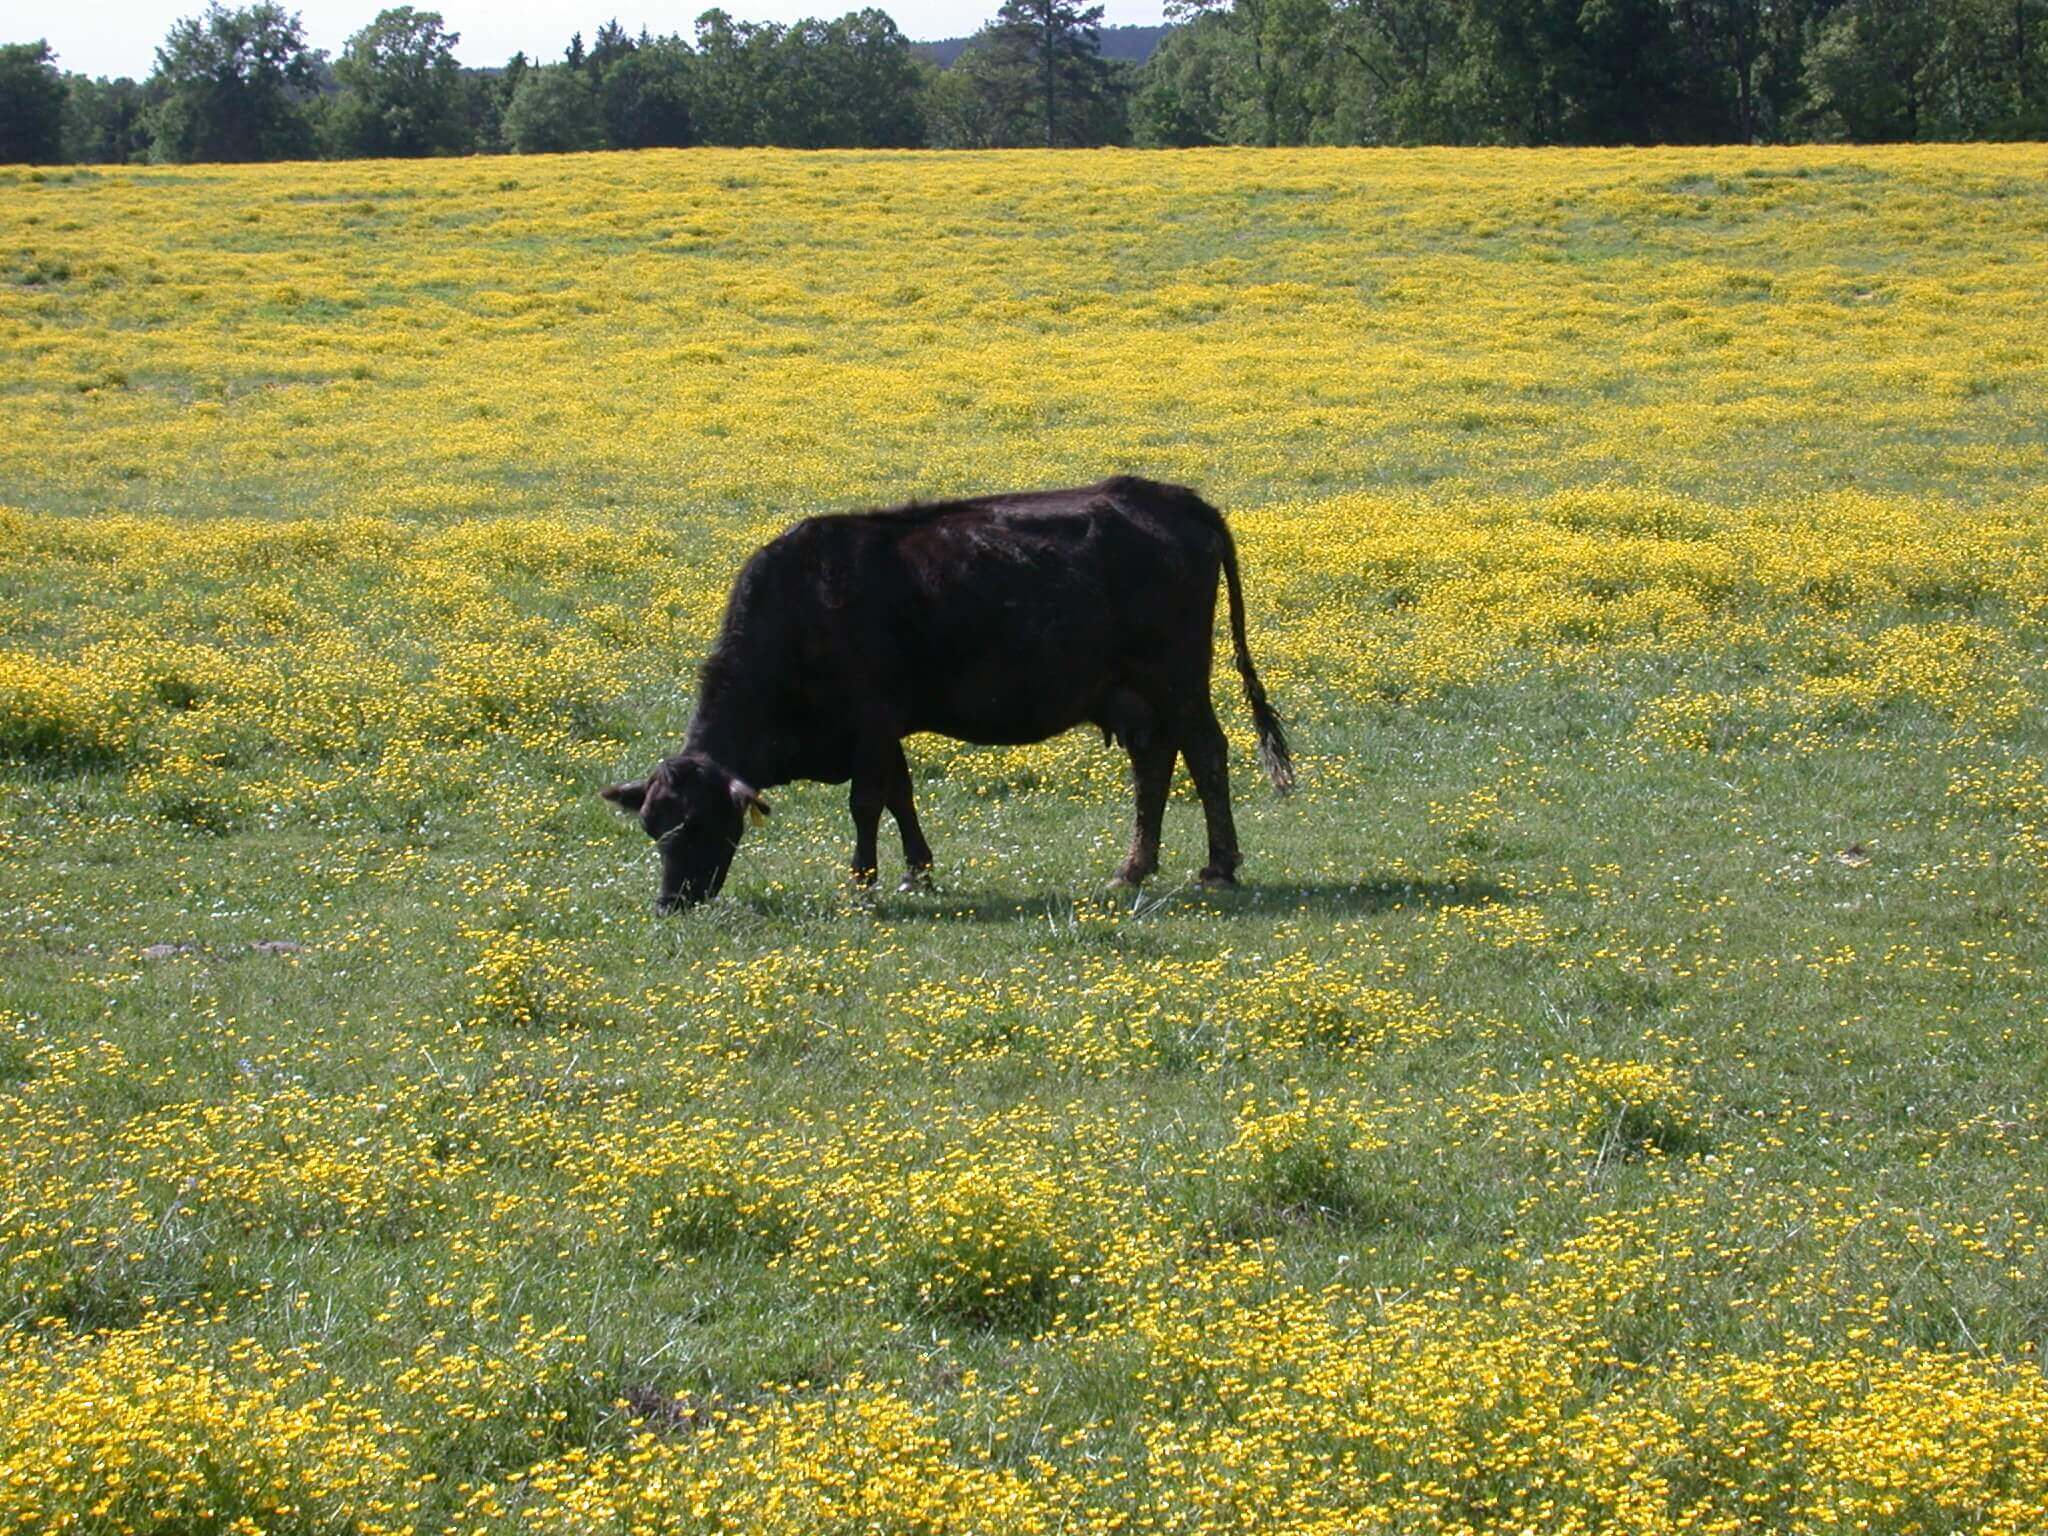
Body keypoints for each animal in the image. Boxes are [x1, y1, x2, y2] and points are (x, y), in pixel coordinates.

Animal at [598, 479, 1294, 913]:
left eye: (701, 823)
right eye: (653, 827)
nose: (671, 903)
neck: (803, 608)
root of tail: (1172, 497)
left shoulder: (872, 722)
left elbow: (866, 803)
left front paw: (863, 881)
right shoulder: (885, 731)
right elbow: (901, 796)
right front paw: (917, 871)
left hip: (1178, 678)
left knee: (1206, 754)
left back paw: (1220, 867)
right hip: (1135, 695)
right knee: (1154, 764)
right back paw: (1134, 868)